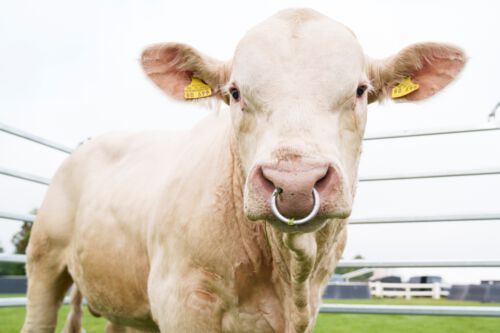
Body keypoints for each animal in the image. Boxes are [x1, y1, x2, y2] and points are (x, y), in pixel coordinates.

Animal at [20, 7, 464, 332]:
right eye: (234, 93)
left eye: (360, 91)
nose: (295, 182)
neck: (286, 276)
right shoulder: (183, 300)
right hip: (44, 262)